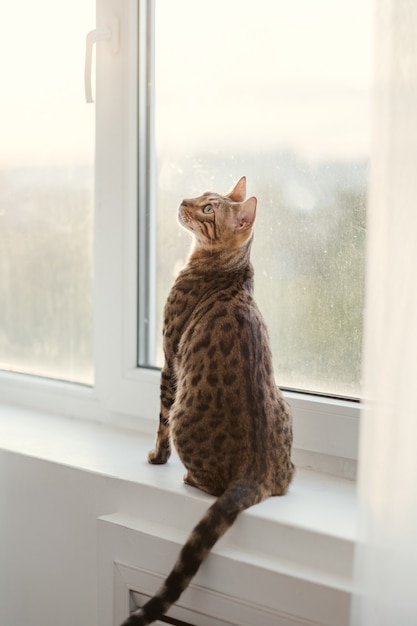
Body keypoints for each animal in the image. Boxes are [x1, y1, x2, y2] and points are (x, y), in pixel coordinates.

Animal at [121, 173, 292, 620]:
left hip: (185, 410)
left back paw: (187, 476)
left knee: (201, 472)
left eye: (209, 209)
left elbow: (159, 423)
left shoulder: (170, 361)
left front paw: (155, 457)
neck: (229, 270)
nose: (184, 200)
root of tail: (257, 472)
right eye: (201, 194)